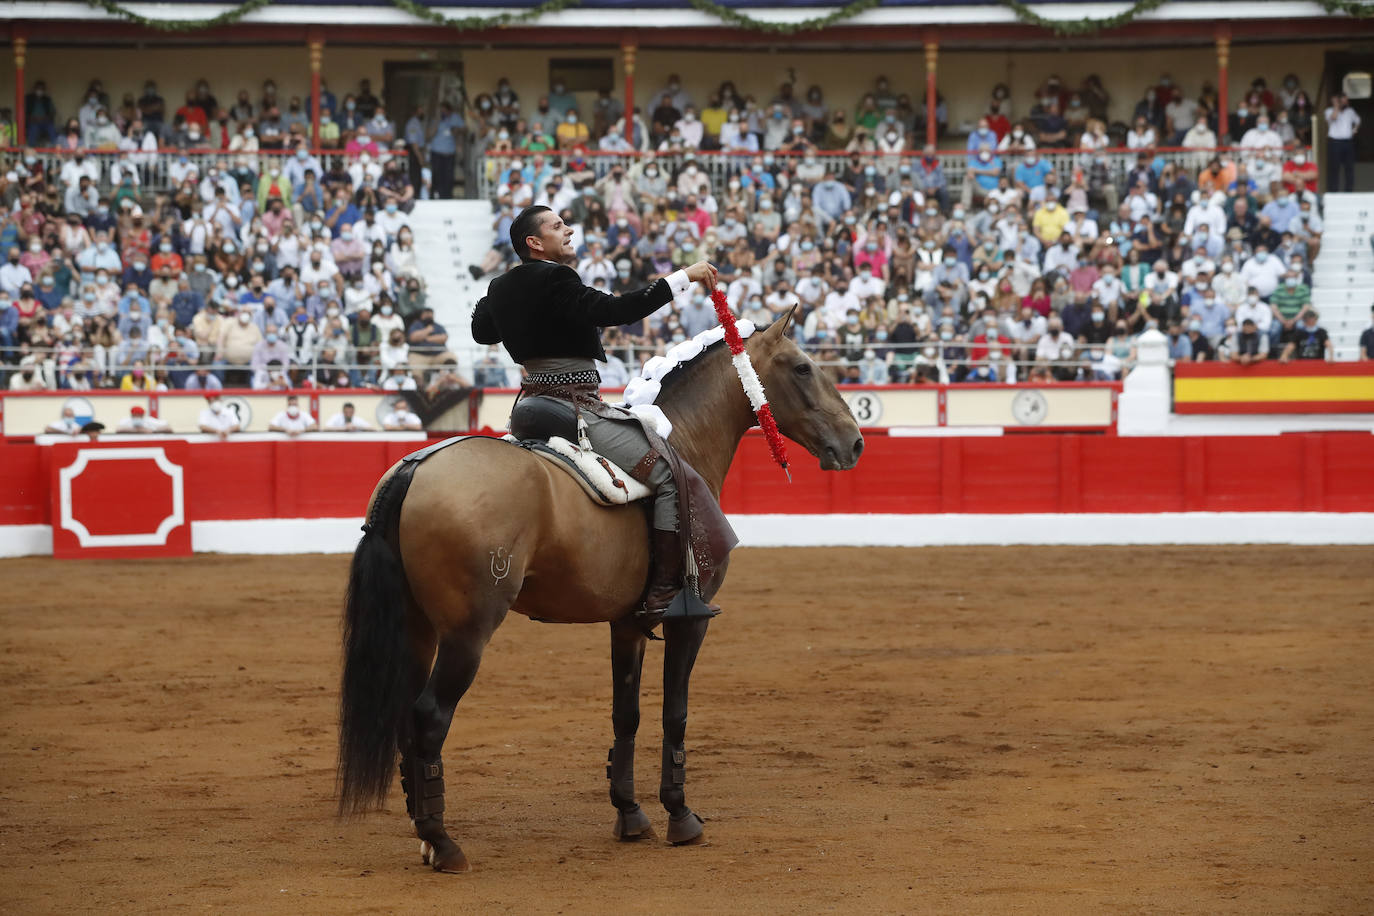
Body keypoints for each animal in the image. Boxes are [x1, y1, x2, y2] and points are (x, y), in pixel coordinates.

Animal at [335, 310, 857, 873]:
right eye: (802, 367)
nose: (854, 442)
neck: (685, 439)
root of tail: (416, 468)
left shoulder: (627, 623)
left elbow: (625, 714)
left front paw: (629, 813)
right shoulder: (690, 621)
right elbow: (675, 713)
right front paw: (680, 816)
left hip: (417, 628)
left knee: (404, 715)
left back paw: (426, 836)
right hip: (466, 634)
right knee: (429, 715)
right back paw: (444, 842)